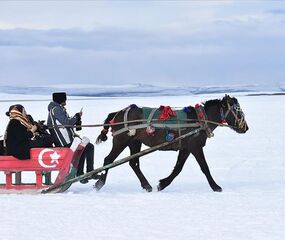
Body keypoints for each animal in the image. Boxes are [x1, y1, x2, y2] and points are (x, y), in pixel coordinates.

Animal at [94, 94, 247, 192]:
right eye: (238, 111)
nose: (246, 127)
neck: (200, 119)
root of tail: (117, 114)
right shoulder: (195, 146)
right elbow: (204, 167)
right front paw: (216, 186)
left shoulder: (186, 148)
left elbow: (178, 168)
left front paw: (162, 184)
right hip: (121, 140)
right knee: (109, 160)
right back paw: (99, 183)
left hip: (134, 142)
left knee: (133, 163)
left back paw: (147, 185)